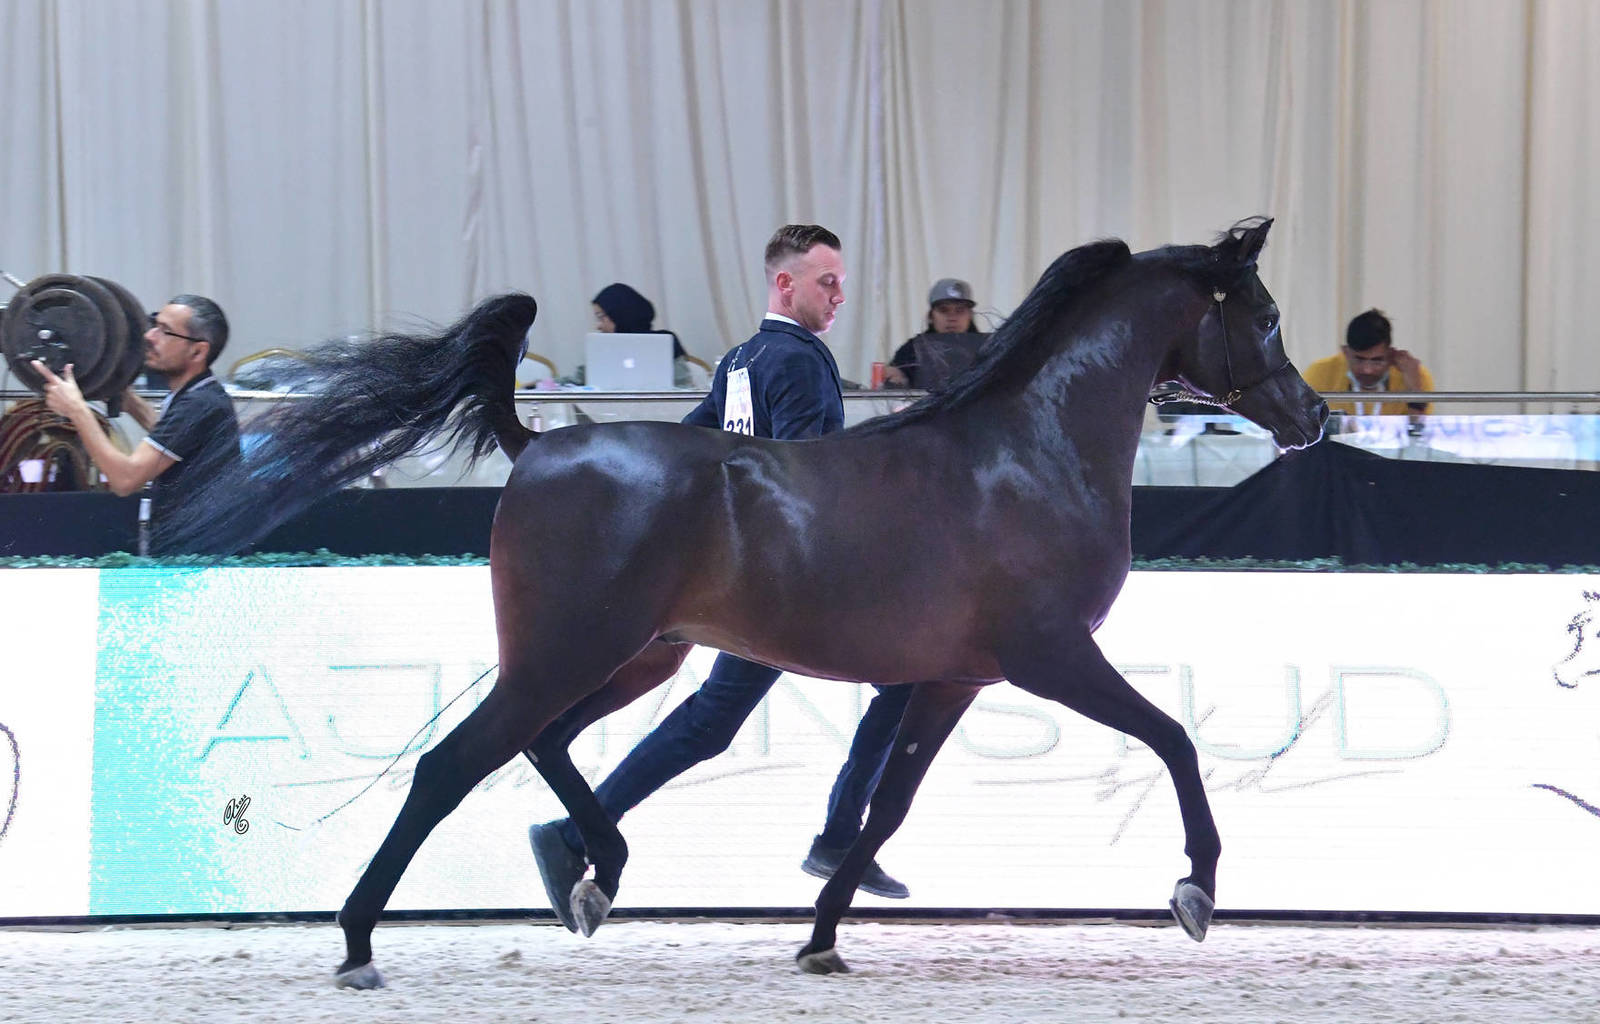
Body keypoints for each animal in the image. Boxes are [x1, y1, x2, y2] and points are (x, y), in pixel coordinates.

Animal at [157, 217, 1327, 987]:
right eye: (1265, 313)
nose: (1312, 420)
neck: (1030, 449)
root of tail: (538, 446)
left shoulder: (953, 677)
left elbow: (885, 807)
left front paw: (820, 934)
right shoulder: (1051, 656)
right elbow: (1174, 738)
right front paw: (1196, 892)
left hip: (640, 654)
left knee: (549, 747)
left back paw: (591, 873)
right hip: (571, 651)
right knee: (452, 764)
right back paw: (361, 942)